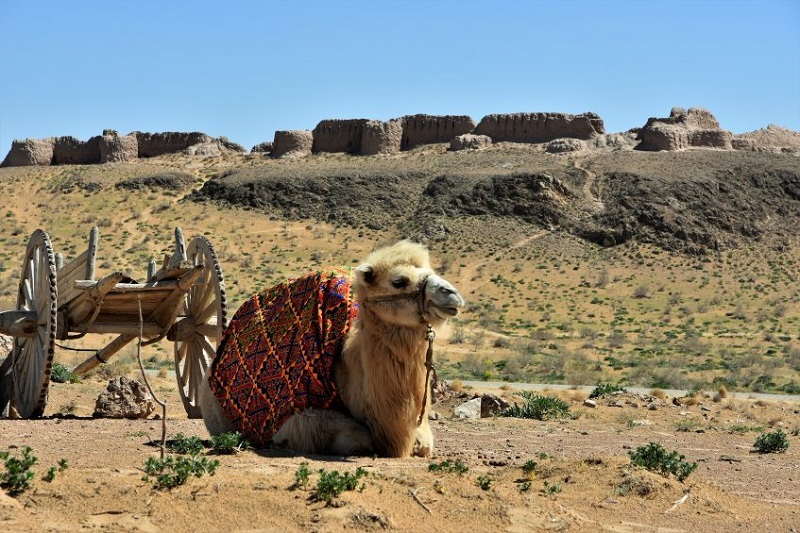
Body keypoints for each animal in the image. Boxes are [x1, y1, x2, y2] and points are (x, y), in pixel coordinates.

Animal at [196, 239, 466, 456]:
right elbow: (360, 437)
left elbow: (424, 443)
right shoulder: (298, 418)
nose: (452, 295)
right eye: (399, 281)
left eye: (431, 271)